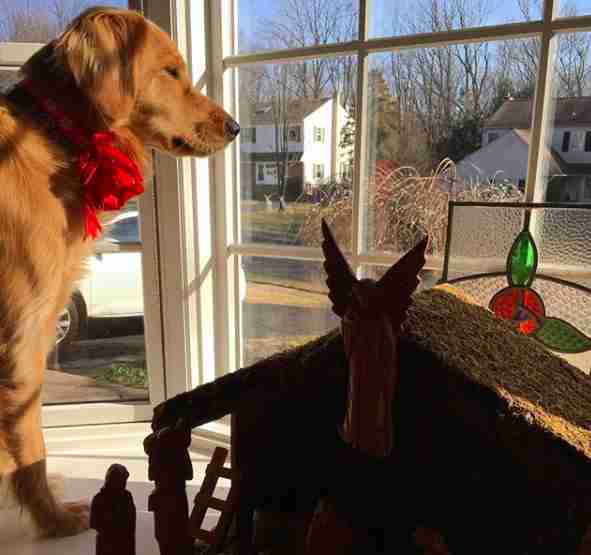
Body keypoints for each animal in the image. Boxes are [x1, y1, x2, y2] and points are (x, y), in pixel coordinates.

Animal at [0, 5, 240, 540]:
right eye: (170, 71)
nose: (236, 126)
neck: (55, 134)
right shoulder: (23, 333)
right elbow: (30, 442)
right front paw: (53, 517)